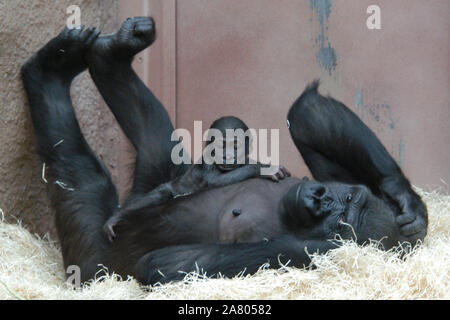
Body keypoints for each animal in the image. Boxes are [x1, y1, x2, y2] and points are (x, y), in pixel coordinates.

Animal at [103, 116, 290, 241]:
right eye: (222, 145)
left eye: (235, 146)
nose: (228, 155)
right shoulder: (207, 162)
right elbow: (214, 181)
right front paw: (263, 168)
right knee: (160, 194)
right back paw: (117, 216)